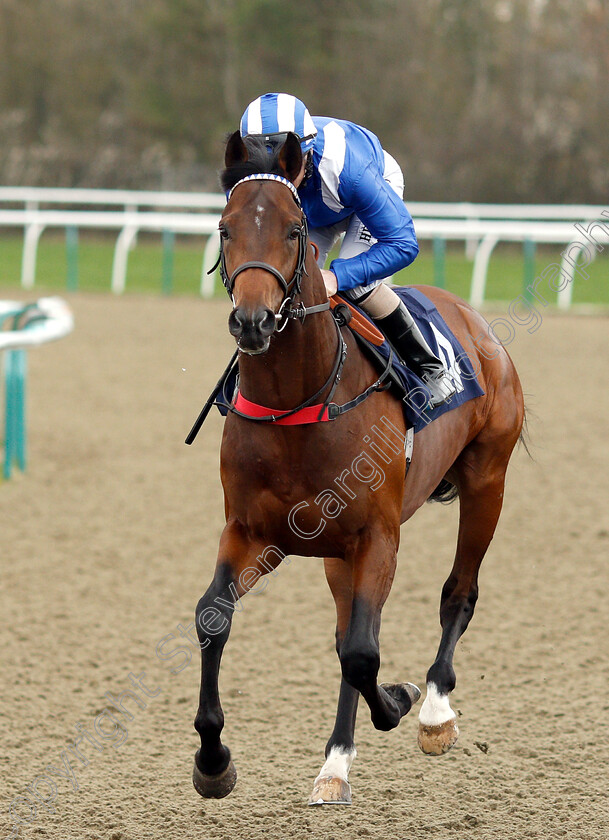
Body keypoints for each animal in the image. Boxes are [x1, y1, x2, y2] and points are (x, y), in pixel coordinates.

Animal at [191, 133, 524, 808]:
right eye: (224, 227)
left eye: (294, 230)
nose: (252, 321)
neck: (298, 402)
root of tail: (475, 322)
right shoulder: (254, 533)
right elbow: (214, 617)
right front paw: (213, 761)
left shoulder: (378, 536)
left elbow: (366, 655)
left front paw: (400, 701)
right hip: (336, 552)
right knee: (348, 632)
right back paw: (335, 763)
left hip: (488, 482)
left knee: (457, 593)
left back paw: (434, 710)